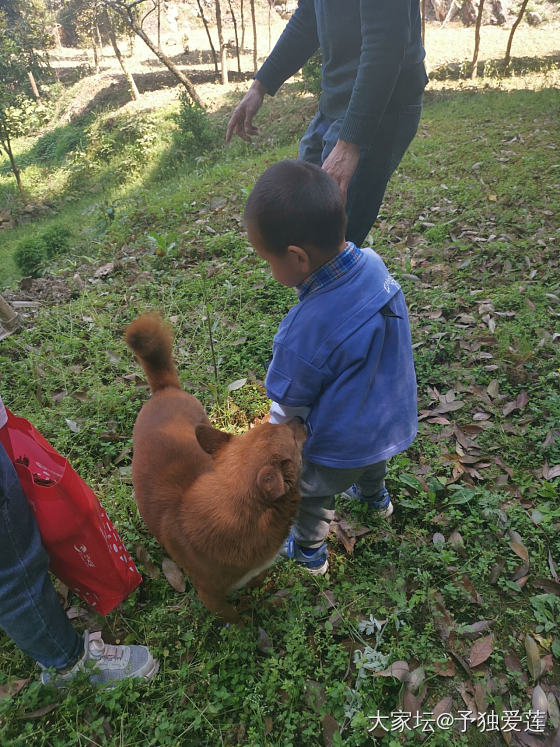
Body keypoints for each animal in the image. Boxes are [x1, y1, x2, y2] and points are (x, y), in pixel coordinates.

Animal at [126, 312, 306, 624]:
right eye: (292, 439)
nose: (301, 419)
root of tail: (164, 390)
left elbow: (258, 581)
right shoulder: (211, 598)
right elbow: (235, 618)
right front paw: (248, 623)